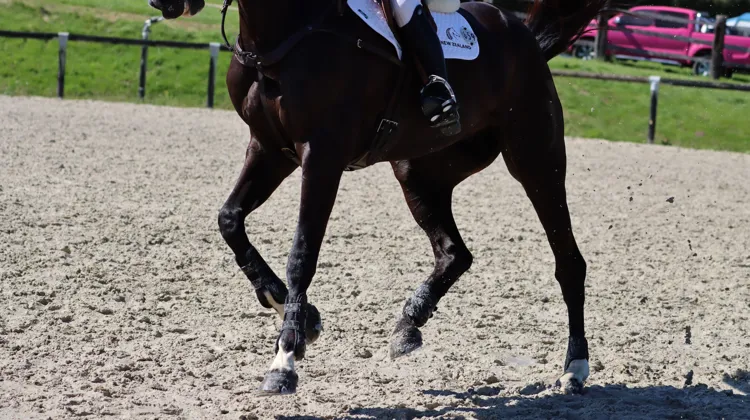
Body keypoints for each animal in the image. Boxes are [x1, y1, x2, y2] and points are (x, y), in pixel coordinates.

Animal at [148, 0, 606, 395]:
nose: (163, 4)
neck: (285, 31)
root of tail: (519, 31)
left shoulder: (321, 157)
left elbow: (302, 254)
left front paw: (285, 358)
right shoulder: (268, 149)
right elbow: (229, 219)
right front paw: (292, 310)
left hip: (537, 160)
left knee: (568, 262)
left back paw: (575, 368)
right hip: (419, 173)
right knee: (454, 252)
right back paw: (409, 323)